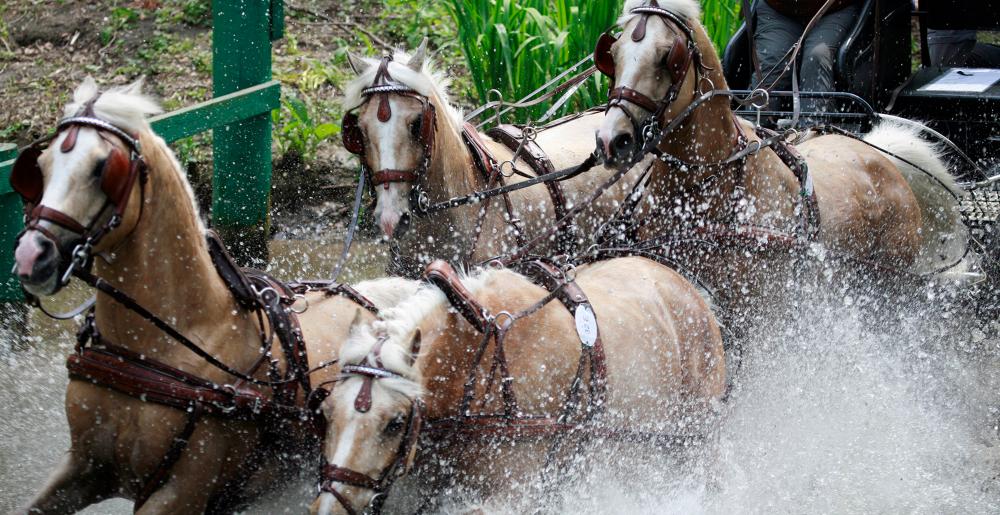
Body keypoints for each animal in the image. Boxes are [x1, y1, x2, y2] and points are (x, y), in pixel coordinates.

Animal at [11, 78, 420, 512]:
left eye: (103, 168)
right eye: (39, 167)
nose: (31, 255)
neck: (164, 346)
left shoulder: (181, 492)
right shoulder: (82, 467)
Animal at [308, 258, 724, 515]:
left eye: (394, 423)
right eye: (325, 412)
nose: (328, 508)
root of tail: (690, 290)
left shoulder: (514, 491)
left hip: (695, 438)